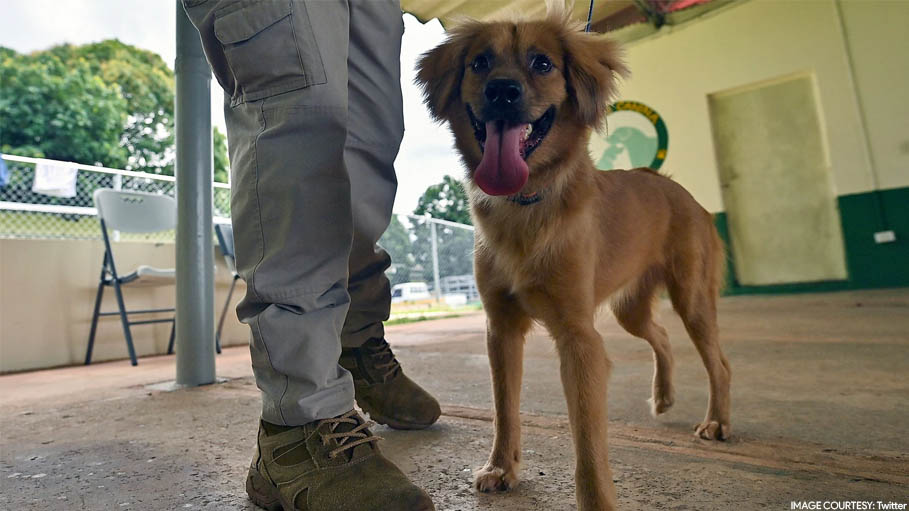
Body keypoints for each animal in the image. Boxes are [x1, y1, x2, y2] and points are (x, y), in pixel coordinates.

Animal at [416, 5, 732, 511]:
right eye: (480, 62)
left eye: (542, 63)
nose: (502, 91)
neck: (525, 205)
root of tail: (681, 191)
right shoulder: (501, 329)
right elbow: (505, 409)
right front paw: (501, 468)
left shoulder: (579, 338)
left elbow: (586, 437)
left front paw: (596, 500)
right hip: (630, 309)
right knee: (661, 336)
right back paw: (663, 396)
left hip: (693, 299)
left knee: (718, 363)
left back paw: (718, 420)